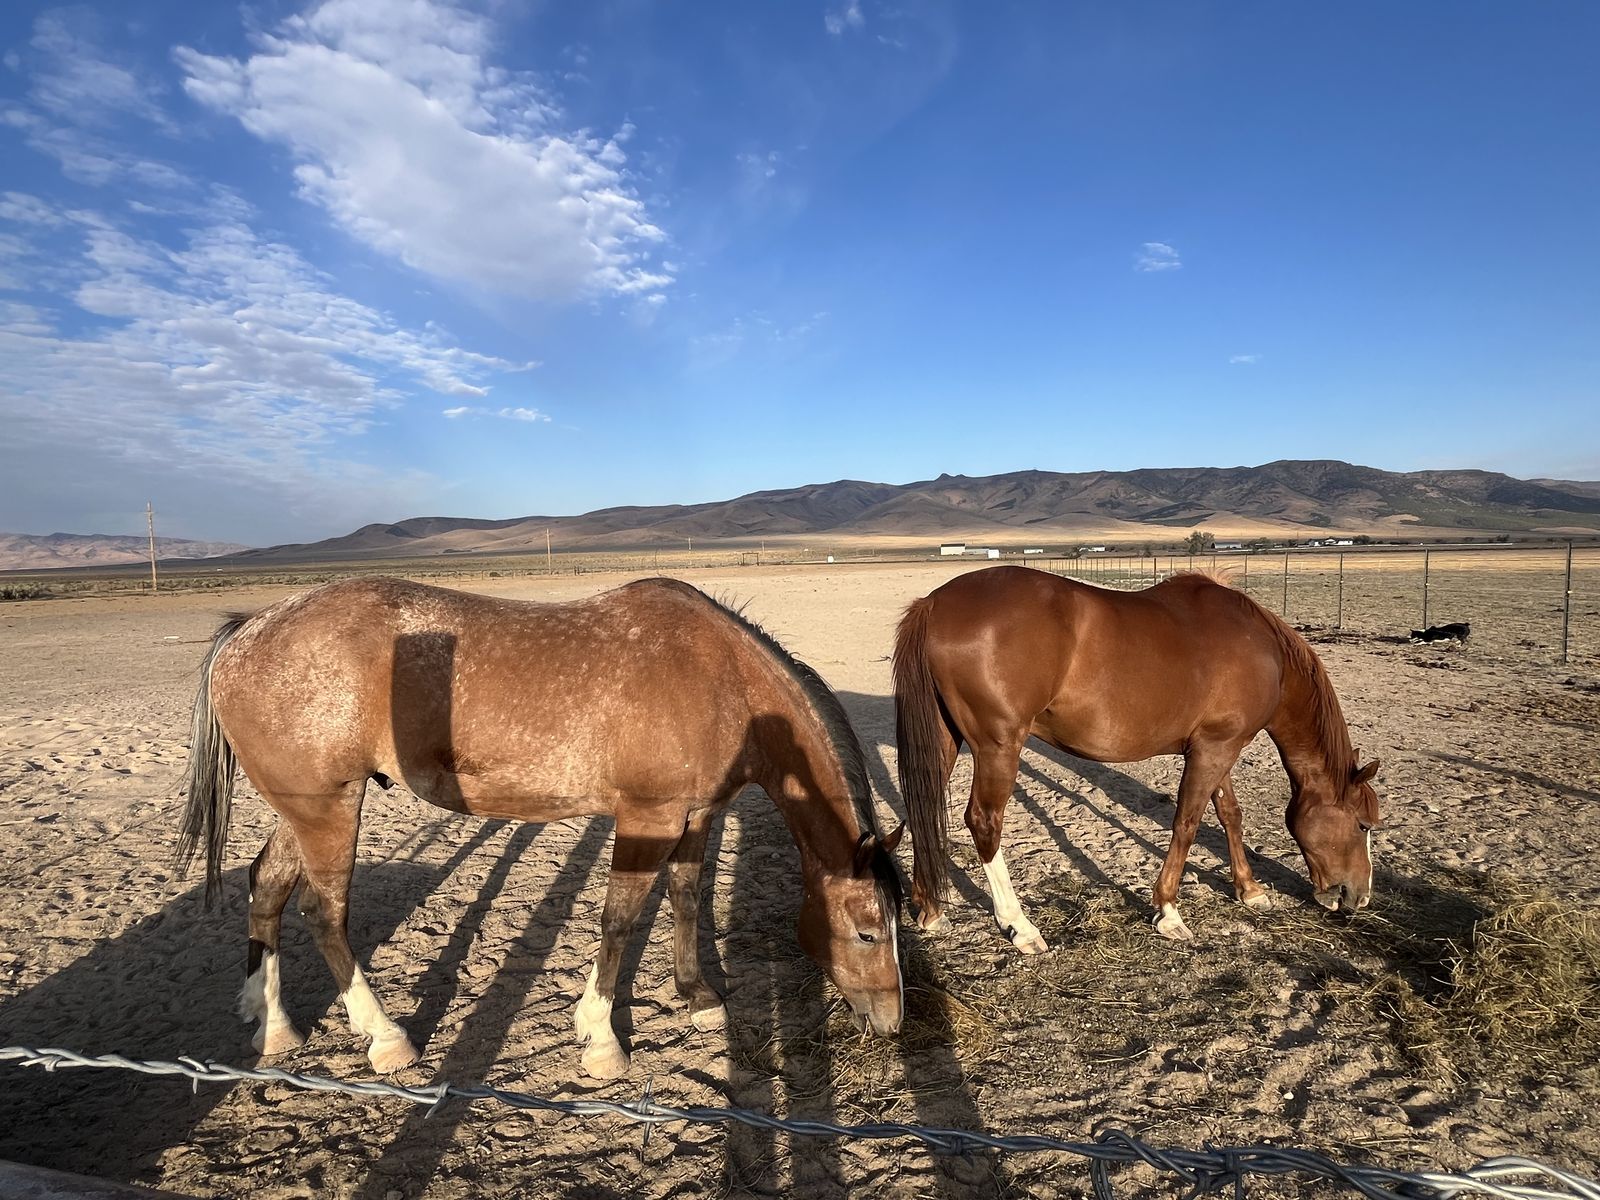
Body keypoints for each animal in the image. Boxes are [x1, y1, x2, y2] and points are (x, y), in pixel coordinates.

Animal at [177, 575, 903, 1080]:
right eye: (868, 932)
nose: (893, 1023)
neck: (719, 680)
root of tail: (247, 630)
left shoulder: (697, 815)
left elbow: (686, 898)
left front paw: (696, 996)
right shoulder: (647, 818)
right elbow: (619, 919)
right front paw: (602, 1041)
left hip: (302, 810)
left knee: (267, 885)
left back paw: (271, 1023)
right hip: (329, 810)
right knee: (324, 914)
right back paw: (386, 1040)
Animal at [894, 565, 1380, 947]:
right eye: (1362, 825)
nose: (1359, 896)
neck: (1263, 651)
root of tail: (934, 604)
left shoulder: (1217, 745)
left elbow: (1229, 814)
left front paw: (1249, 888)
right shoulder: (1216, 748)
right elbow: (1187, 823)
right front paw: (1168, 911)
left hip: (944, 739)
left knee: (923, 806)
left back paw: (931, 909)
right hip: (999, 746)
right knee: (984, 821)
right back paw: (1020, 926)